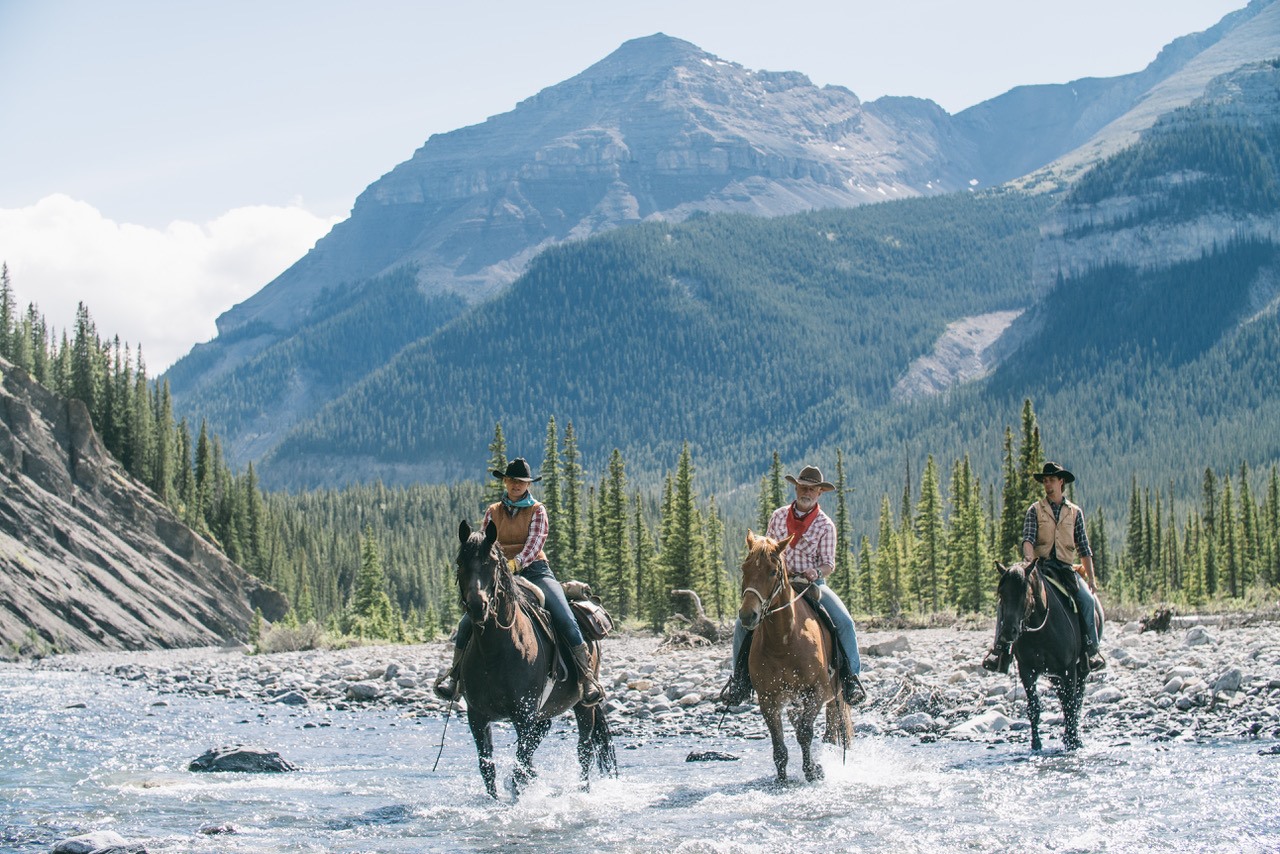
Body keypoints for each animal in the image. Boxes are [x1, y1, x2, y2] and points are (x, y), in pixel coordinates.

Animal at [450, 522, 614, 804]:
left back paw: (583, 791)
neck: (495, 652)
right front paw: (496, 802)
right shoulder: (477, 715)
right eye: (461, 562)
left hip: (583, 705)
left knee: (584, 749)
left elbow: (520, 765)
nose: (477, 606)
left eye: (492, 563)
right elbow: (488, 767)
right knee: (546, 732)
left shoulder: (524, 714)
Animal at [737, 530, 855, 783]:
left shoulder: (816, 691)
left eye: (773, 571)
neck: (783, 643)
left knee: (831, 731)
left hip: (836, 695)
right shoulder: (768, 698)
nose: (748, 615)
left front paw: (812, 771)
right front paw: (782, 779)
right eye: (744, 568)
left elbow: (805, 732)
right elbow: (779, 744)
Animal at [993, 563, 1095, 752]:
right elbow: (1034, 707)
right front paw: (1036, 743)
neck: (1041, 631)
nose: (1008, 632)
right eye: (1001, 593)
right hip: (1054, 676)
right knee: (1064, 698)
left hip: (1081, 669)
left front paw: (1073, 741)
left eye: (1024, 592)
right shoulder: (1027, 670)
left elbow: (1071, 704)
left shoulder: (1068, 669)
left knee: (1076, 700)